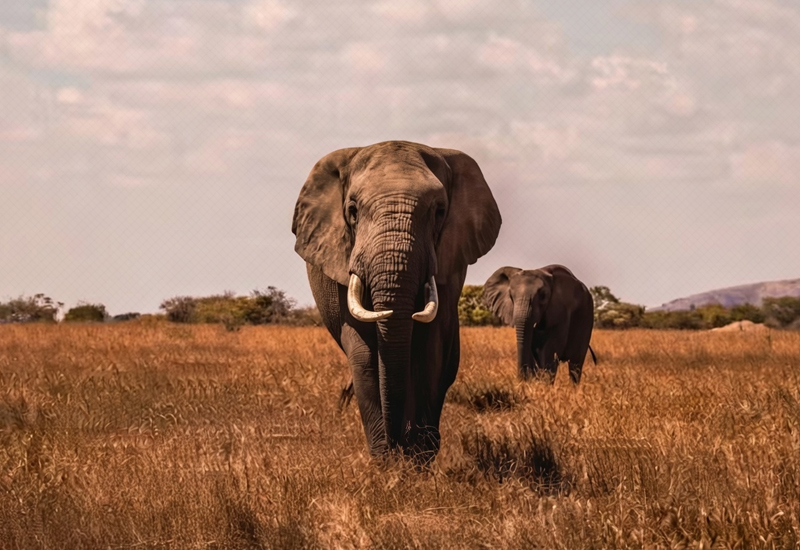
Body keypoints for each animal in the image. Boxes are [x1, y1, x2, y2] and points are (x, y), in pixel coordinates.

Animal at [292, 141, 501, 461]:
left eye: (439, 211)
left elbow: (430, 350)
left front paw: (417, 460)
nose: (395, 445)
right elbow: (365, 354)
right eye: (352, 210)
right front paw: (387, 461)